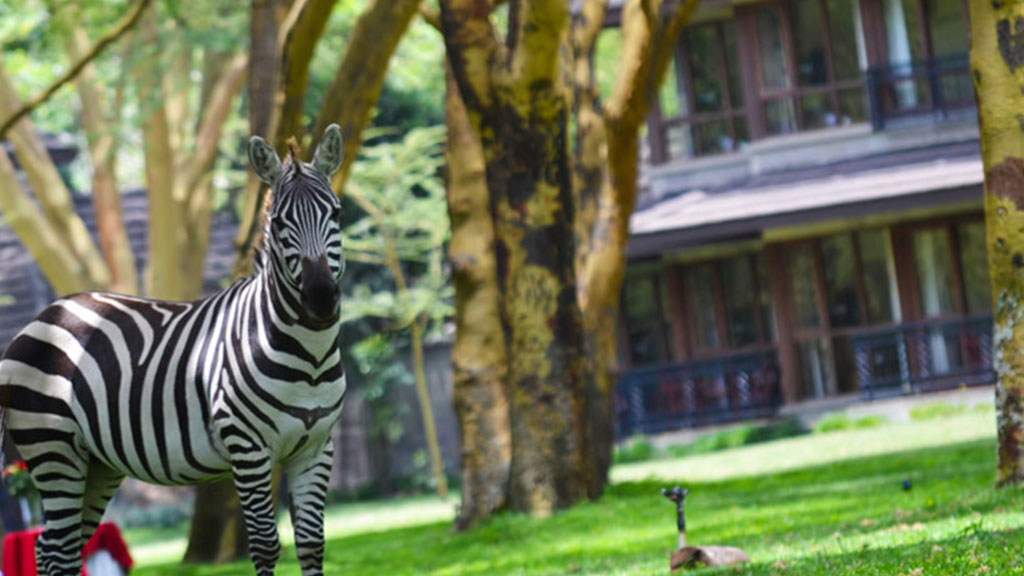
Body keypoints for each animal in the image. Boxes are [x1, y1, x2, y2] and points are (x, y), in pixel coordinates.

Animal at [0, 123, 348, 569]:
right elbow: (266, 544)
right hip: (53, 447)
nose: (320, 299)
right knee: (56, 548)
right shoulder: (248, 448)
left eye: (335, 214)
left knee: (53, 547)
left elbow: (311, 544)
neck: (311, 358)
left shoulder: (316, 448)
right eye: (279, 223)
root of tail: (44, 314)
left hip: (97, 462)